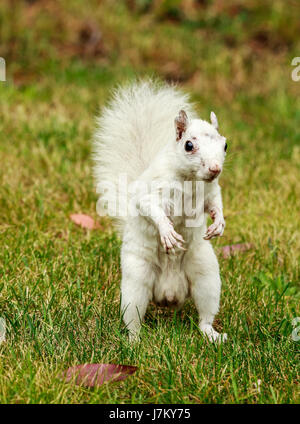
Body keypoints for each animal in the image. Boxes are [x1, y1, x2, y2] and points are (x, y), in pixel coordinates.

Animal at [93, 80, 227, 344]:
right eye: (188, 145)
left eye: (225, 144)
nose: (215, 169)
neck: (190, 180)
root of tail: (169, 294)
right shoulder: (151, 191)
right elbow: (151, 208)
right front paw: (167, 233)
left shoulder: (210, 191)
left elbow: (216, 204)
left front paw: (219, 224)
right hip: (136, 281)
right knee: (133, 316)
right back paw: (134, 341)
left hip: (206, 273)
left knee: (205, 314)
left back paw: (212, 334)